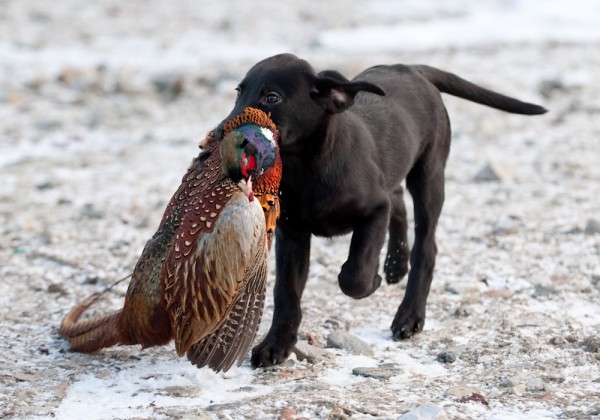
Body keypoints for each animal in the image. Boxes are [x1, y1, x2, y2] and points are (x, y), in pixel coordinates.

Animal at [218, 53, 548, 368]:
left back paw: (409, 315)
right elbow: (286, 292)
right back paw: (395, 265)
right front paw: (276, 345)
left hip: (429, 175)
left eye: (272, 97)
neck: (307, 167)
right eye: (239, 92)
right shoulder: (293, 233)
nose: (220, 134)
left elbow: (355, 274)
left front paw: (372, 281)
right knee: (398, 202)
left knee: (425, 245)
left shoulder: (374, 211)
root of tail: (411, 68)